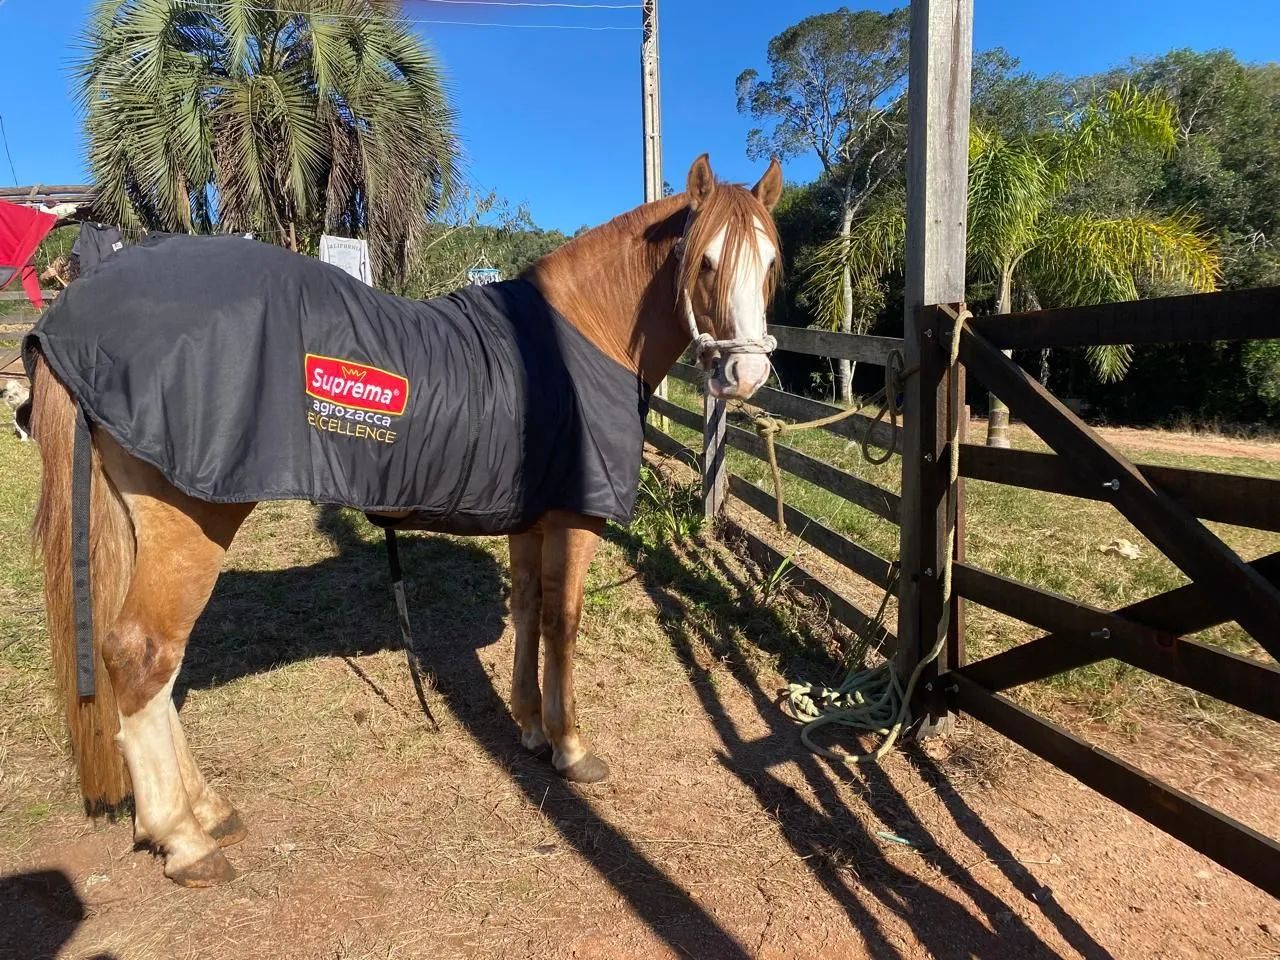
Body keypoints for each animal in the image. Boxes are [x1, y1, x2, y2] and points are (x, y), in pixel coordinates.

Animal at [26, 153, 783, 887]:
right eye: (705, 261)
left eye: (772, 262)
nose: (745, 376)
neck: (576, 340)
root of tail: (82, 307)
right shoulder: (574, 520)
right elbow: (562, 625)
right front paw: (570, 748)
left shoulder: (531, 522)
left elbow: (529, 614)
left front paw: (530, 729)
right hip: (193, 521)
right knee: (143, 655)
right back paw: (184, 840)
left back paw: (207, 810)